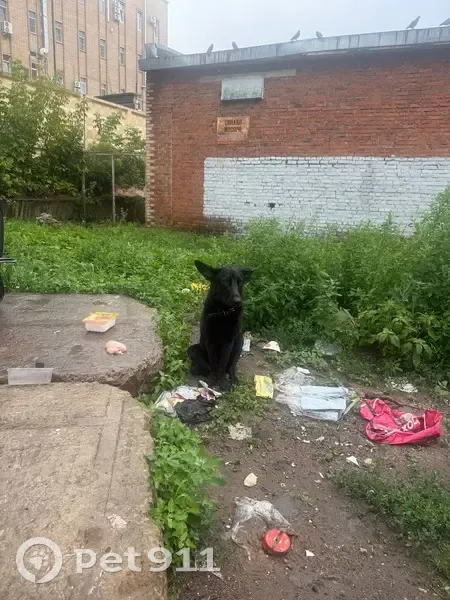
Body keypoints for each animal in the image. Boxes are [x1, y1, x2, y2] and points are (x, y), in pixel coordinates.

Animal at [188, 260, 255, 391]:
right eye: (225, 281)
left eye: (240, 281)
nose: (238, 301)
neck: (223, 312)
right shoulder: (210, 342)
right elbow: (214, 364)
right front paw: (212, 380)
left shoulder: (228, 343)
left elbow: (222, 364)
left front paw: (222, 381)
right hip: (193, 349)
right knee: (206, 365)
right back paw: (199, 370)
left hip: (239, 343)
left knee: (231, 366)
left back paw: (233, 378)